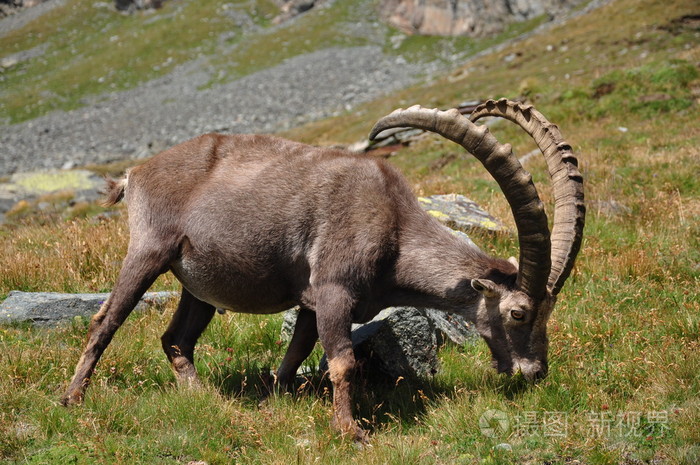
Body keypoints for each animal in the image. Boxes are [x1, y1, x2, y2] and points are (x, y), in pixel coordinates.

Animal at [61, 97, 584, 438]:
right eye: (518, 313)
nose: (535, 372)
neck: (392, 223)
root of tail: (136, 173)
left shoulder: (310, 302)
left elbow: (296, 353)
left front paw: (275, 401)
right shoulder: (334, 290)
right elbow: (342, 362)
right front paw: (350, 431)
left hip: (199, 285)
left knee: (175, 339)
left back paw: (205, 400)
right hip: (149, 251)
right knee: (105, 320)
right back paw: (72, 399)